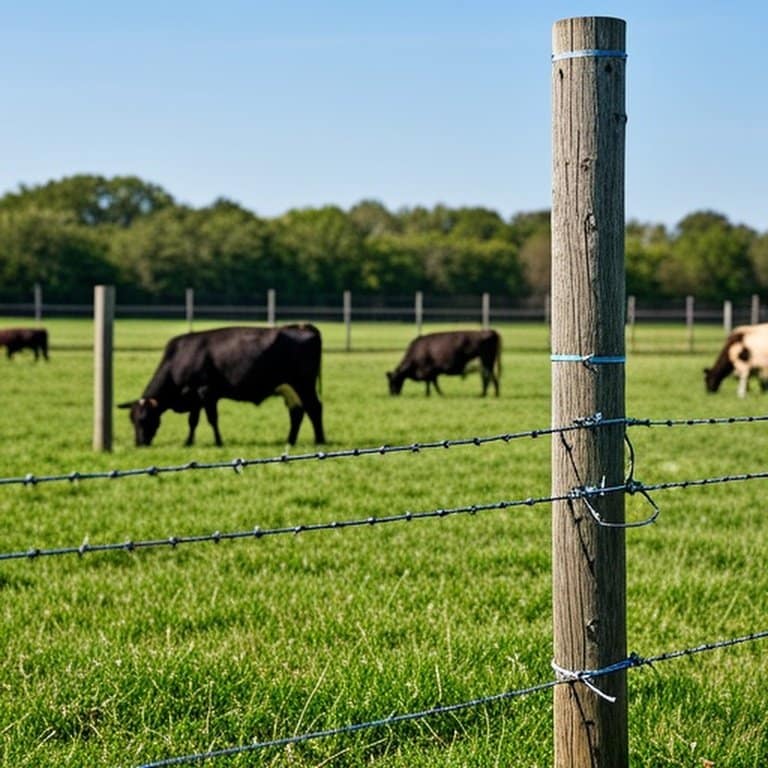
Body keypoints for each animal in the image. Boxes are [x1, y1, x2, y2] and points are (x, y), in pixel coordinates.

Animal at [119, 324, 326, 447]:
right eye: (132, 419)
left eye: (144, 419)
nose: (139, 443)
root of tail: (301, 327)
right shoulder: (194, 397)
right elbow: (193, 421)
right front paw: (189, 442)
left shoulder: (206, 392)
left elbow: (211, 419)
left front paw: (218, 442)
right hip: (289, 389)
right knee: (297, 412)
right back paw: (290, 441)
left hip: (303, 384)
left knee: (314, 408)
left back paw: (320, 440)